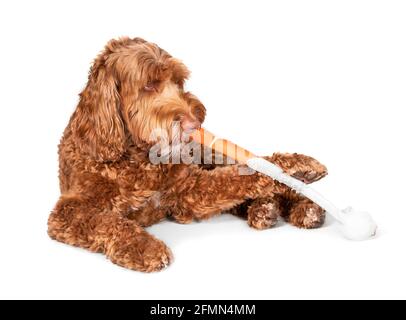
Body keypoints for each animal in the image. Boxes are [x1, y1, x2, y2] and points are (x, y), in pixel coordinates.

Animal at [47, 38, 328, 272]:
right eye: (149, 84)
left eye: (178, 82)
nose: (195, 122)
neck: (136, 159)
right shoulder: (68, 211)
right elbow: (108, 222)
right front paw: (143, 247)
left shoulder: (187, 186)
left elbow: (239, 177)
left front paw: (296, 165)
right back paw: (264, 209)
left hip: (212, 155)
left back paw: (304, 206)